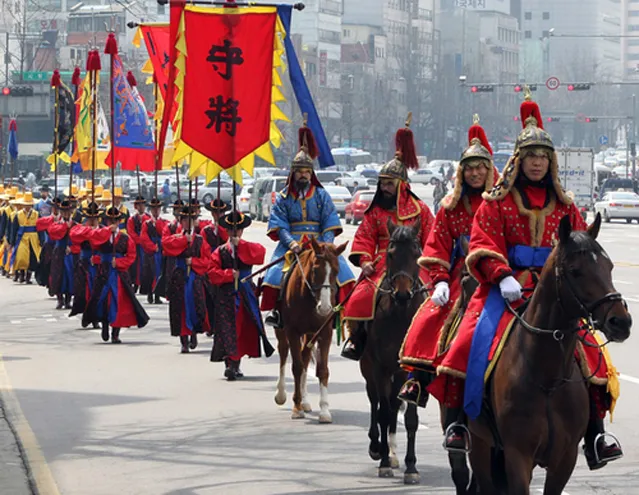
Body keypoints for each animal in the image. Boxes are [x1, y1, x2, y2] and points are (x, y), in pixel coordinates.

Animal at [272, 238, 348, 424]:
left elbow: (322, 369)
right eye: (315, 269)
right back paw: (282, 394)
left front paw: (325, 410)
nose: (326, 308)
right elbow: (297, 367)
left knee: (305, 357)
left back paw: (305, 401)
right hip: (283, 331)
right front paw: (296, 407)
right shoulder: (292, 331)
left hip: (310, 334)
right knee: (284, 352)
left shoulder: (324, 333)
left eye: (336, 271)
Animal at [468, 214, 632, 495]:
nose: (621, 321)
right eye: (575, 271)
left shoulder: (565, 458)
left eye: (609, 266)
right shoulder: (517, 456)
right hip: (479, 445)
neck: (547, 378)